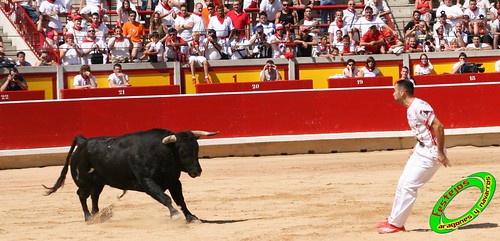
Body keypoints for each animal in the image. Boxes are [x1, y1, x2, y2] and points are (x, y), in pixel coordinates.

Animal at [45, 129, 219, 223]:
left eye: (196, 149)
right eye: (182, 151)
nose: (197, 171)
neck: (162, 152)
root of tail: (83, 142)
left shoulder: (174, 182)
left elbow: (180, 200)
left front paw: (191, 217)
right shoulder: (148, 182)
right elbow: (166, 198)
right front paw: (175, 214)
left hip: (99, 182)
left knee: (94, 196)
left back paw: (97, 215)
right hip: (84, 181)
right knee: (82, 195)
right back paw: (89, 217)